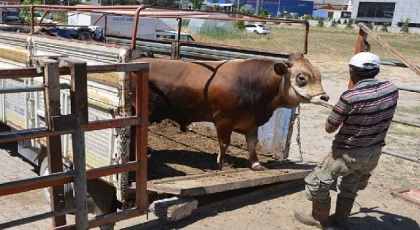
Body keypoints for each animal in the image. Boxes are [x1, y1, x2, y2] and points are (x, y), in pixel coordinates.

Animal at [131, 56, 328, 170]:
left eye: (319, 76)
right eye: (302, 78)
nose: (325, 96)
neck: (251, 83)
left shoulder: (251, 123)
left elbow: (252, 143)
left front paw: (256, 163)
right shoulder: (223, 121)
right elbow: (224, 144)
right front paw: (222, 164)